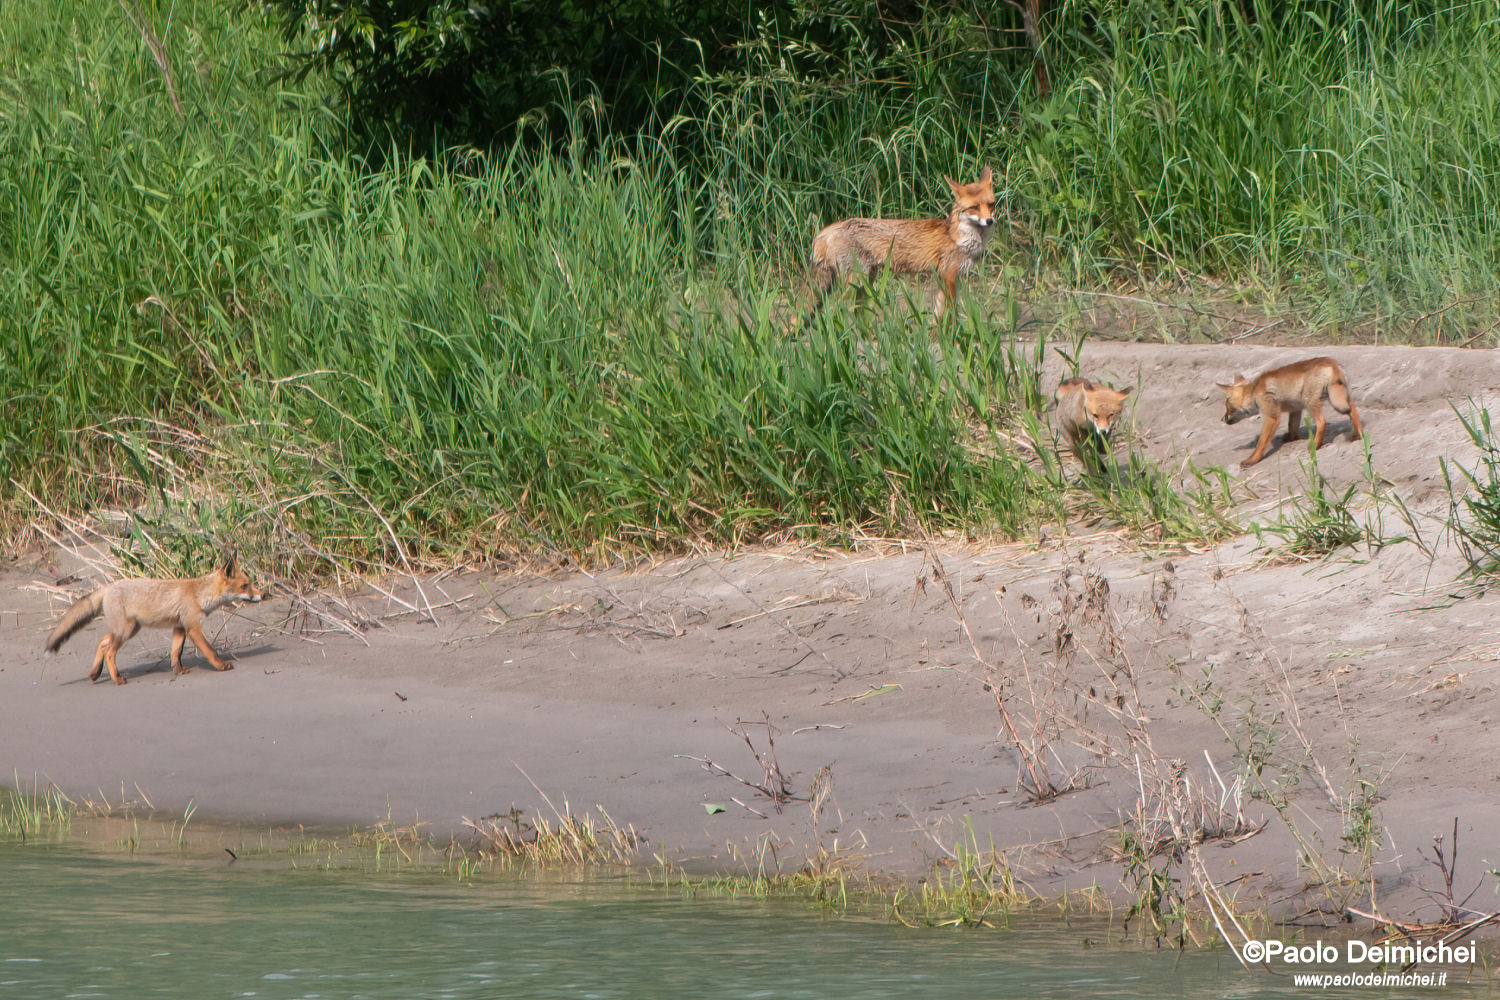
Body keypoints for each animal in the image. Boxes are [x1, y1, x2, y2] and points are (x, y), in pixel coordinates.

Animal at [44, 555, 264, 685]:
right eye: (245, 585)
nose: (263, 595)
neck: (199, 594)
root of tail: (108, 586)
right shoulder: (192, 626)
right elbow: (210, 650)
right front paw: (220, 665)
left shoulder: (179, 627)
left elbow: (176, 652)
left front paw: (179, 670)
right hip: (126, 630)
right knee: (109, 651)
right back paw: (116, 678)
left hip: (130, 629)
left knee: (103, 641)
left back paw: (94, 673)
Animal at [809, 166, 997, 320]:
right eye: (974, 207)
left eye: (991, 205)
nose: (989, 221)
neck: (958, 238)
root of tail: (828, 229)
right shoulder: (949, 276)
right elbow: (949, 316)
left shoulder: (949, 278)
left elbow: (939, 315)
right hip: (854, 283)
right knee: (834, 308)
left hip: (864, 284)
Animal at [1215, 356, 1364, 468]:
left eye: (1227, 406)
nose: (1222, 419)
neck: (1254, 390)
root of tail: (1330, 361)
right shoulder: (1295, 409)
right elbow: (1292, 427)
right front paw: (1290, 438)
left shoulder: (1272, 416)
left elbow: (1261, 443)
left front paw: (1252, 460)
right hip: (1338, 399)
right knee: (1353, 411)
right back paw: (1358, 435)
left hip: (1312, 402)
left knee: (1322, 421)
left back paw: (1315, 445)